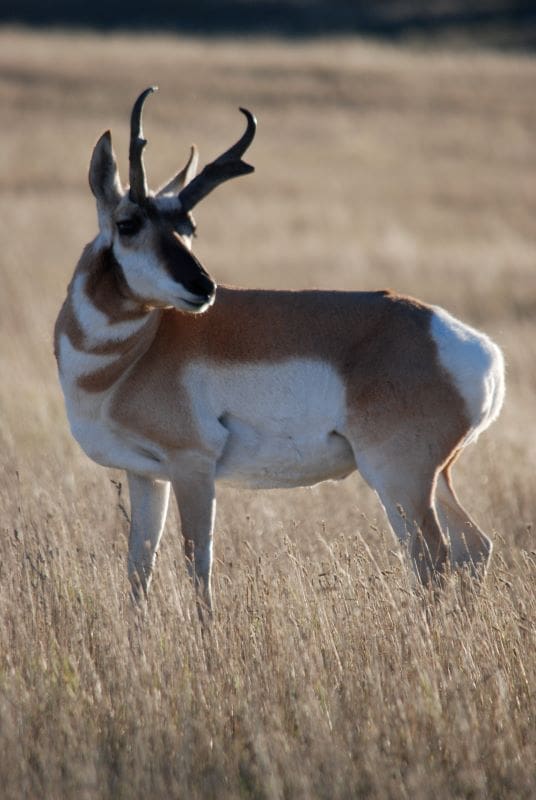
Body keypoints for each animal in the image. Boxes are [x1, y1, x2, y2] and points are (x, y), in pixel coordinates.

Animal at [56, 87, 504, 608]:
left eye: (189, 227)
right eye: (127, 223)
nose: (203, 288)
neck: (131, 356)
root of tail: (472, 346)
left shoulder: (192, 467)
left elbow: (198, 566)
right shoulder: (148, 476)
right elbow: (138, 571)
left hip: (397, 476)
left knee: (432, 558)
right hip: (436, 476)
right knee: (474, 546)